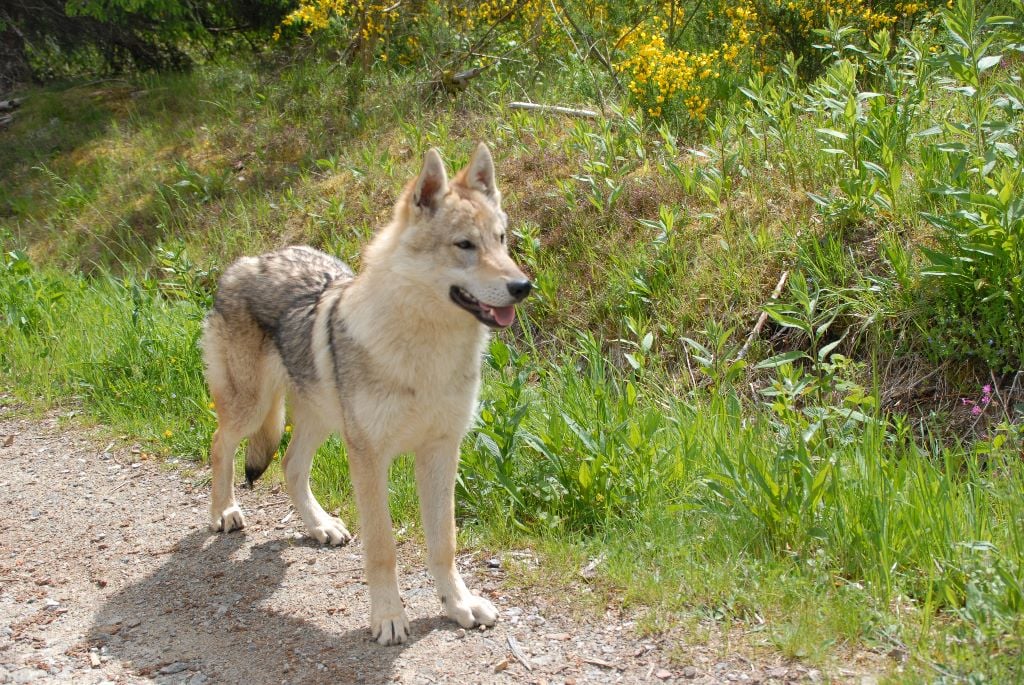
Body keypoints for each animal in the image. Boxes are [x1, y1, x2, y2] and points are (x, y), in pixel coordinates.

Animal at [200, 141, 536, 643]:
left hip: (319, 419)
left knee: (290, 465)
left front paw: (459, 606)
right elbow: (382, 547)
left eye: (501, 239)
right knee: (220, 444)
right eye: (465, 245)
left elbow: (444, 543)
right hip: (254, 408)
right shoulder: (370, 458)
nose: (522, 286)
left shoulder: (441, 451)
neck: (426, 352)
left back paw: (320, 526)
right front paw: (389, 618)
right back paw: (225, 512)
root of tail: (247, 261)